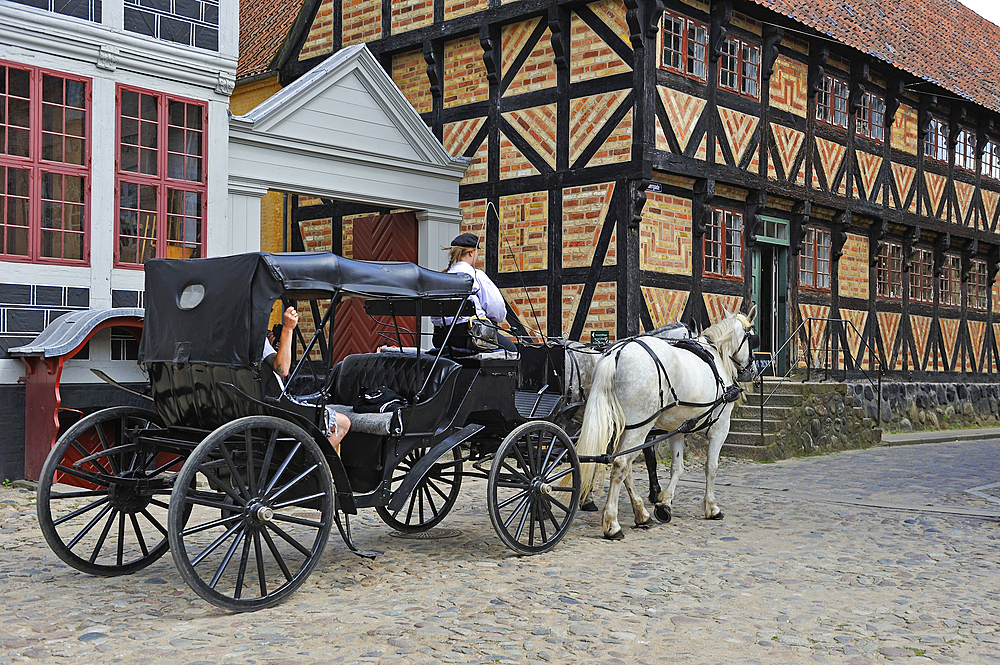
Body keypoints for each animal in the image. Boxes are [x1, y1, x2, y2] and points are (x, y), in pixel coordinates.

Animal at [576, 306, 752, 540]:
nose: (752, 369)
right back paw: (613, 524)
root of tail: (617, 353)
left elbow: (677, 468)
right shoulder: (720, 427)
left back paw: (641, 514)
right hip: (640, 427)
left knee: (622, 465)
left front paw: (664, 502)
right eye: (752, 338)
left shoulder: (678, 429)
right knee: (621, 465)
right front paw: (712, 508)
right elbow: (711, 467)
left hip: (624, 428)